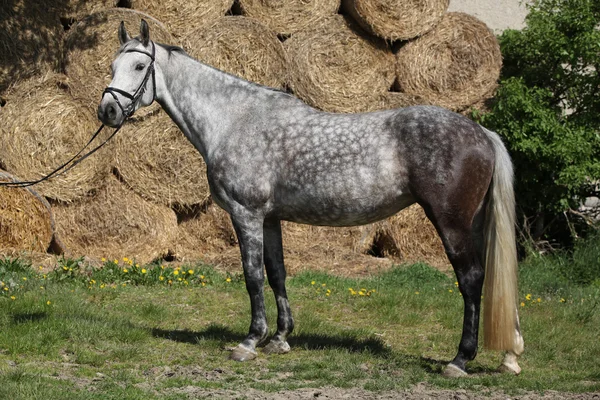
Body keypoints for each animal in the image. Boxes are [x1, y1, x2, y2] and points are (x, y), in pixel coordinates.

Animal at [96, 21, 524, 378]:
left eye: (139, 66)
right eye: (112, 64)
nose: (108, 110)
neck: (234, 120)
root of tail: (482, 133)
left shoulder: (246, 214)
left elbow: (252, 276)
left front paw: (249, 341)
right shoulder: (270, 218)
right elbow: (276, 272)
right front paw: (280, 338)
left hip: (452, 222)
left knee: (471, 279)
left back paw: (460, 360)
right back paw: (509, 355)